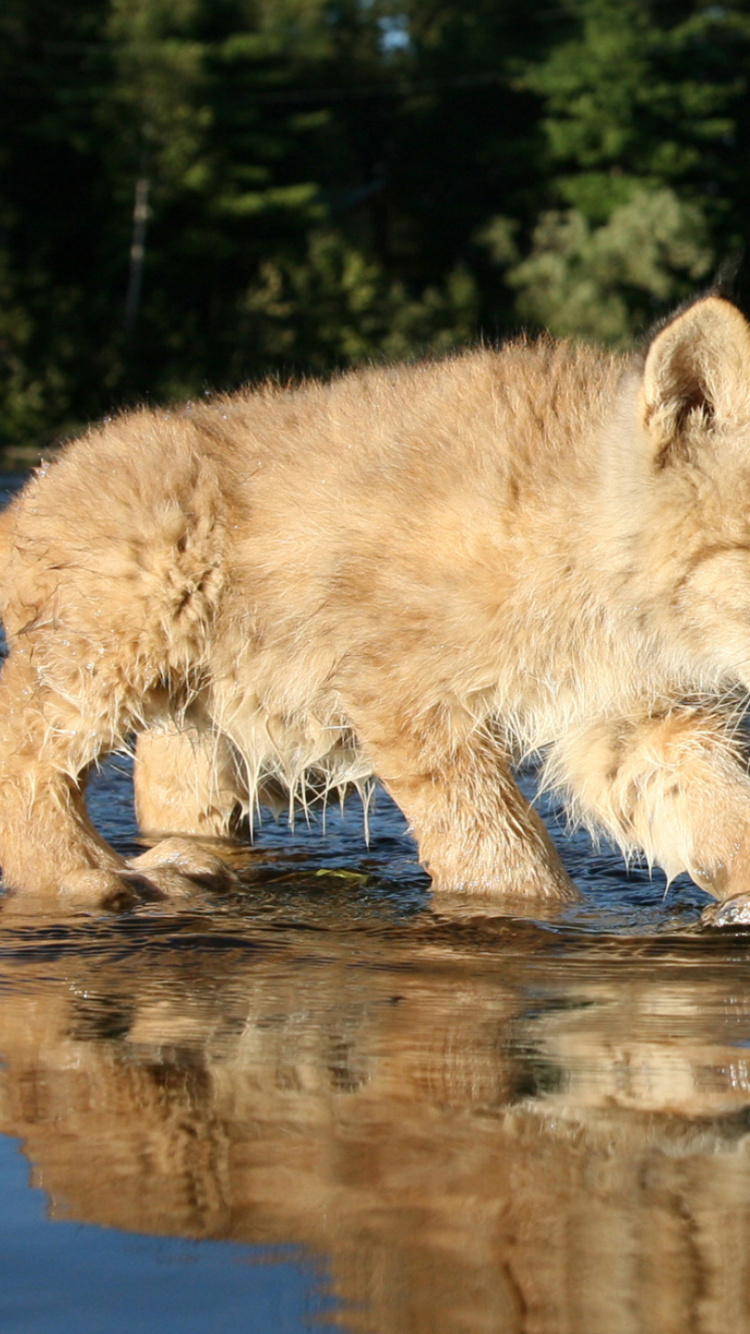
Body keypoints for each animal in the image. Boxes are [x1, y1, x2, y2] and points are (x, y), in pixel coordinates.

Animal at [0, 292, 747, 917]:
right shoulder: (406, 691)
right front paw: (527, 908)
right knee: (23, 740)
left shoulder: (633, 715)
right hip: (125, 621)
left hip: (203, 714)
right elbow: (492, 839)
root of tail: (32, 486)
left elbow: (714, 802)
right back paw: (95, 876)